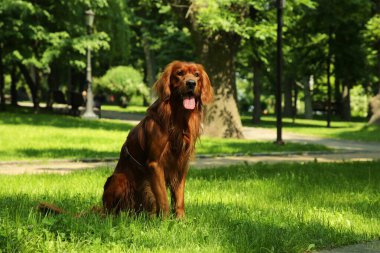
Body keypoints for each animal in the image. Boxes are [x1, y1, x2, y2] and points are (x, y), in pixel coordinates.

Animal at [101, 60, 214, 217]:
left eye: (197, 75)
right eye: (180, 73)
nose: (191, 83)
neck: (178, 119)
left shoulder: (180, 163)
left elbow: (179, 198)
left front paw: (181, 219)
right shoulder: (155, 164)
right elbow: (163, 199)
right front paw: (165, 220)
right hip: (119, 179)